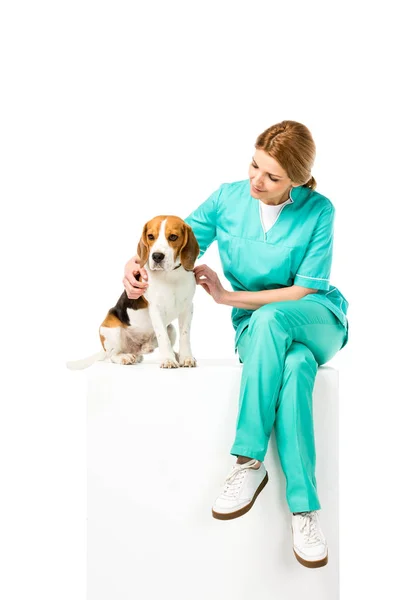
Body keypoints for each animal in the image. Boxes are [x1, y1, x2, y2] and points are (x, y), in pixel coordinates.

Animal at [68, 213, 203, 368]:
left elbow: (185, 336)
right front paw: (168, 360)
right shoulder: (156, 309)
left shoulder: (188, 307)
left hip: (171, 329)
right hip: (111, 329)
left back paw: (168, 353)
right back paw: (124, 357)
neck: (170, 275)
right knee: (111, 356)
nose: (157, 256)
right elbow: (163, 337)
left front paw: (186, 357)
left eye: (173, 237)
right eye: (150, 236)